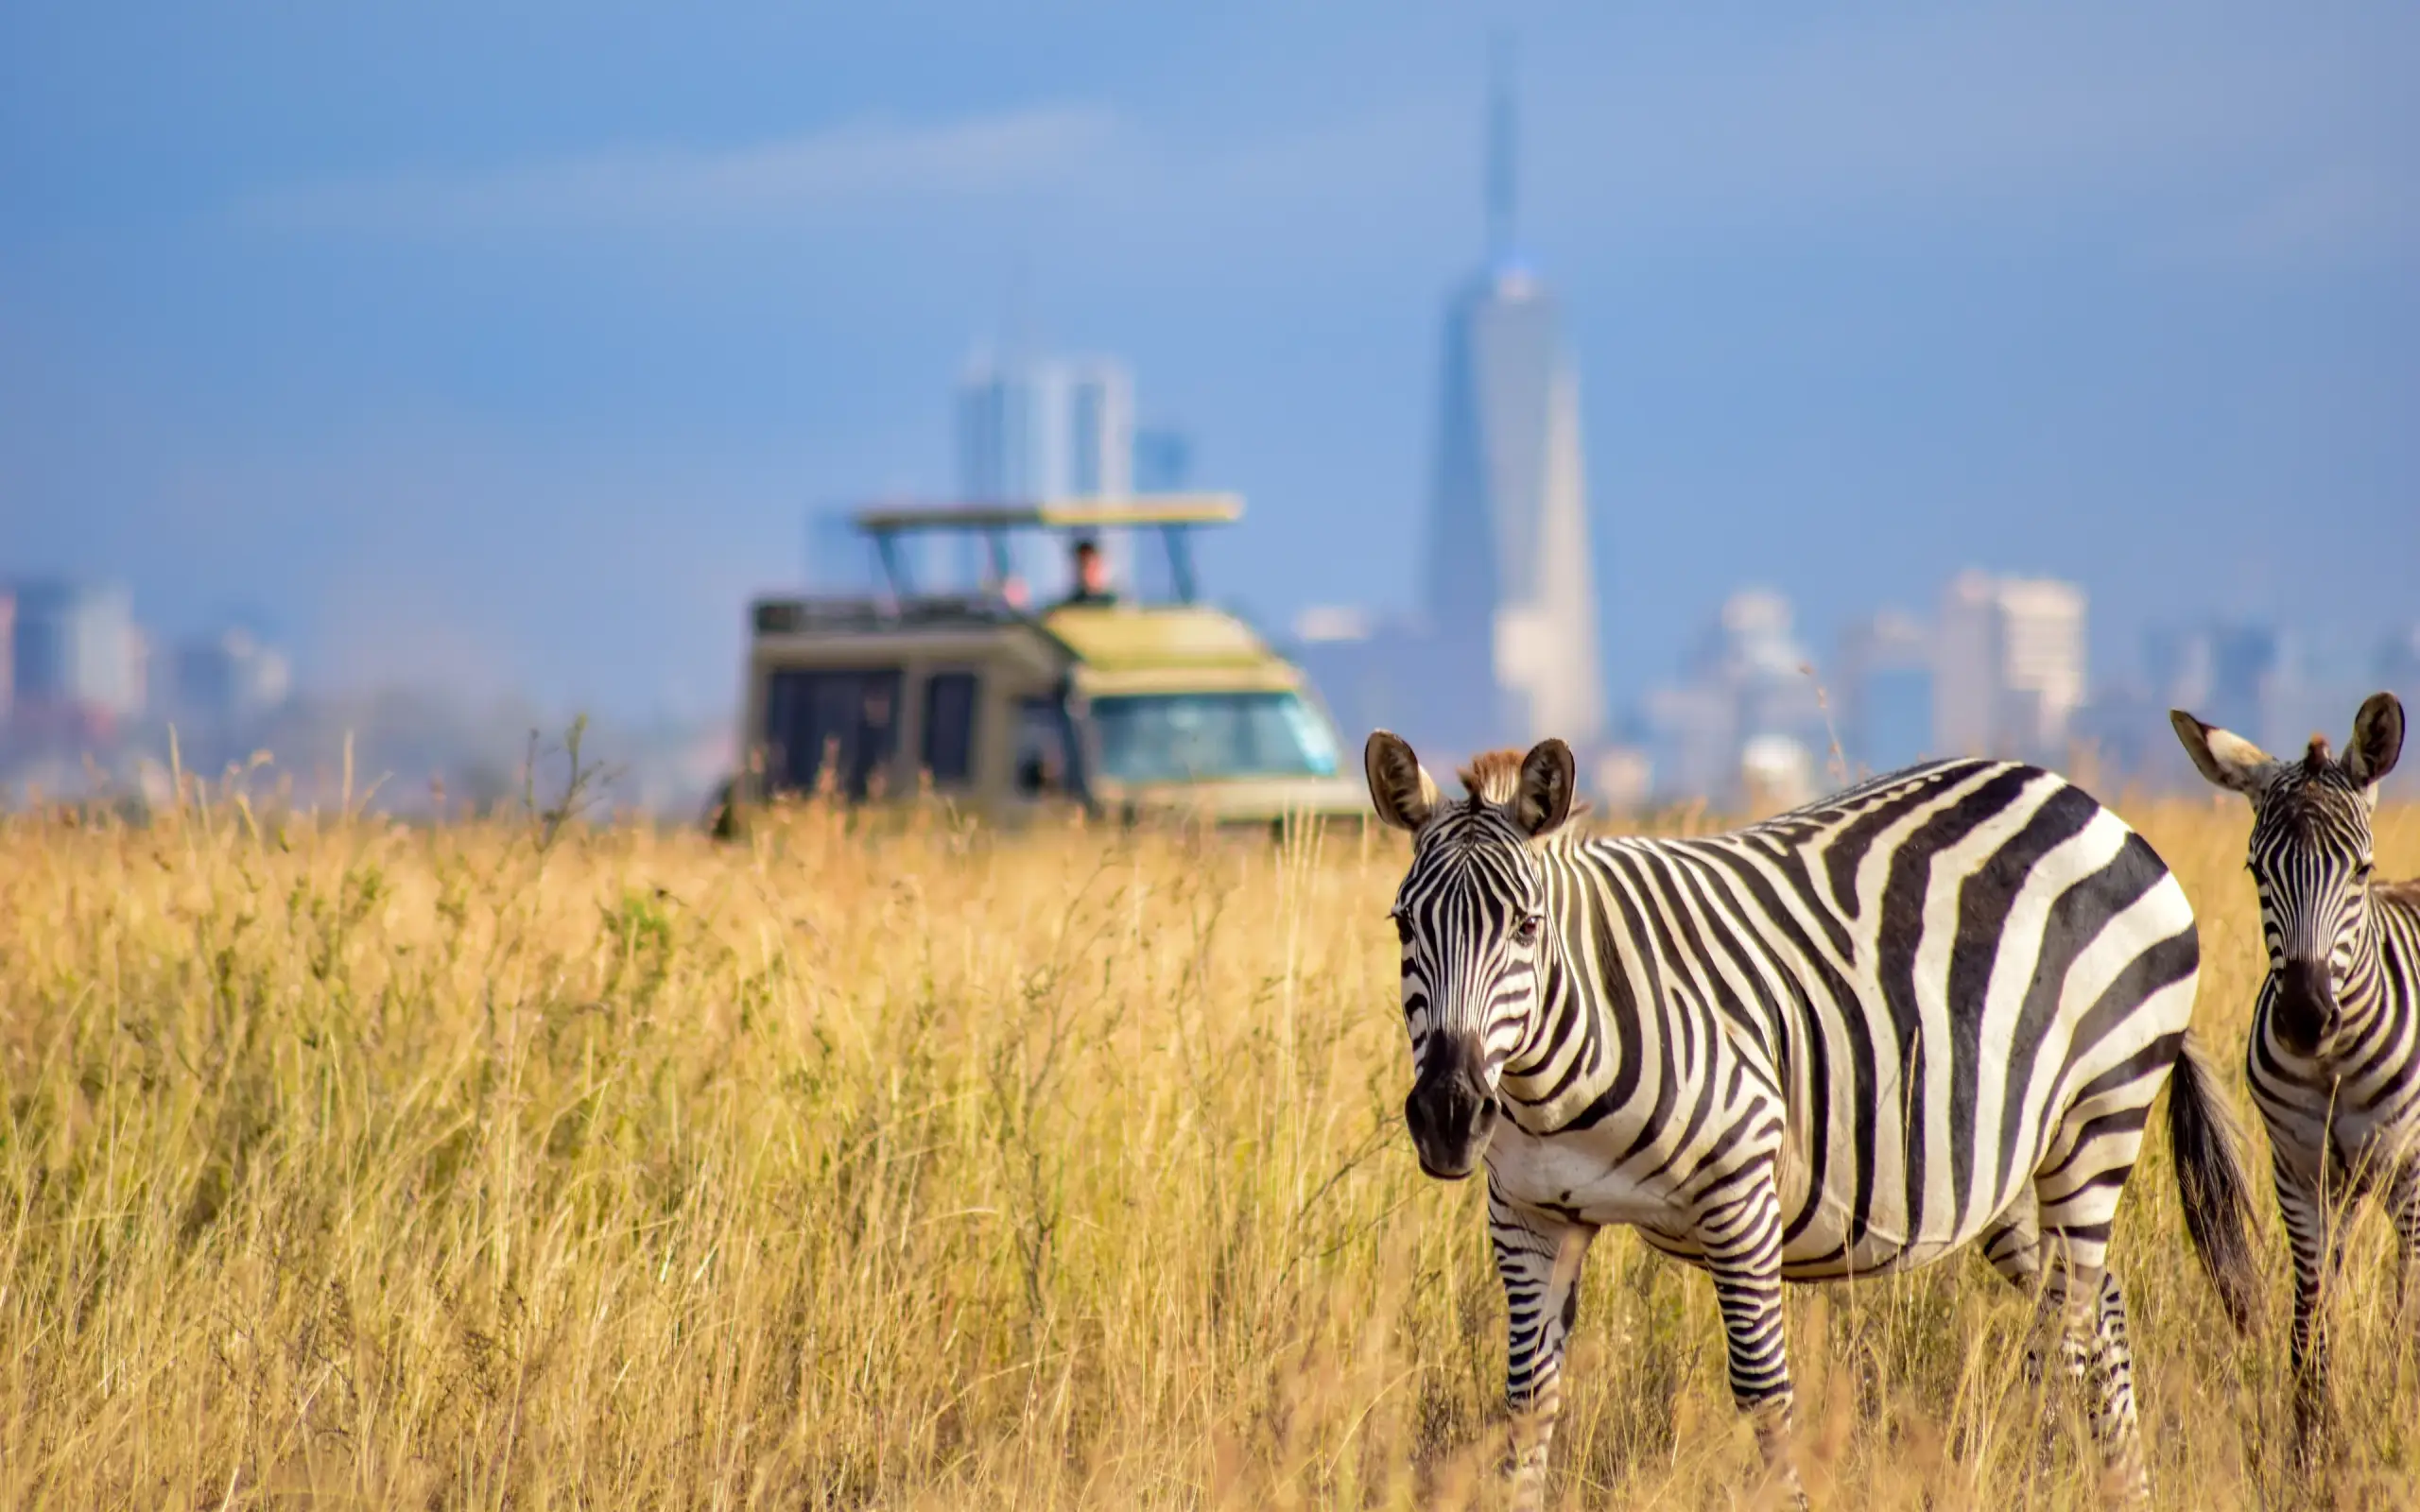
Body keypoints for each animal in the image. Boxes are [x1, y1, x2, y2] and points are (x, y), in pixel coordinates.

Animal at [1364, 732, 2261, 1506]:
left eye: (1526, 927)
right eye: (1403, 926)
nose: (1449, 1114)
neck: (1552, 1079)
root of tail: (2087, 803)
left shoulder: (1739, 1192)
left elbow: (1764, 1396)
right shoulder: (1529, 1216)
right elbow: (1526, 1403)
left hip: (2099, 1112)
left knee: (2066, 1331)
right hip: (2001, 1164)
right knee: (2099, 1305)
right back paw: (2125, 1490)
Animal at [2170, 690, 2418, 1459]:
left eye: (2360, 870)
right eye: (2256, 871)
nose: (2306, 1017)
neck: (2333, 1062)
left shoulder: (2410, 1172)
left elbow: (2406, 1307)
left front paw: (2396, 1414)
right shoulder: (2298, 1169)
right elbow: (2310, 1313)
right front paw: (2312, 1440)